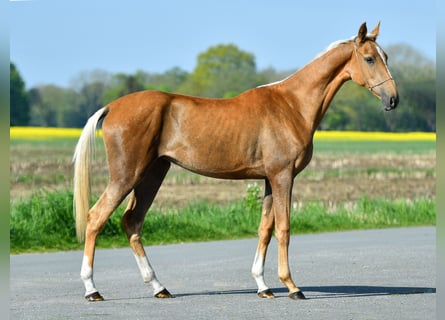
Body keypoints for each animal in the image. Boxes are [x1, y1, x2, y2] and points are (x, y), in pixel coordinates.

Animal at [73, 21, 398, 302]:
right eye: (369, 58)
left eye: (385, 56)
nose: (393, 99)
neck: (292, 105)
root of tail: (112, 106)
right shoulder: (283, 176)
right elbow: (284, 228)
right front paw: (292, 286)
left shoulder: (268, 180)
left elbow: (265, 229)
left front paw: (263, 286)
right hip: (127, 175)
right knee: (95, 217)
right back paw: (92, 289)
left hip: (153, 174)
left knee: (132, 221)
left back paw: (158, 287)